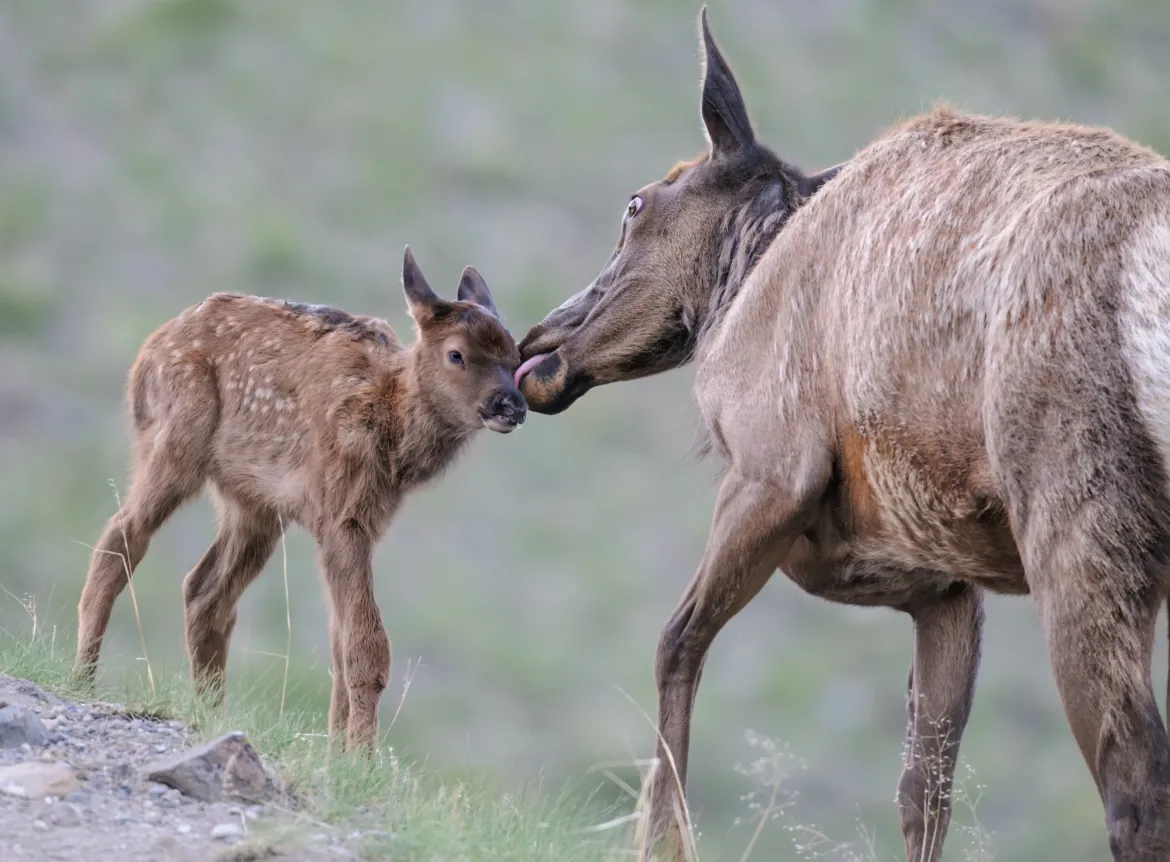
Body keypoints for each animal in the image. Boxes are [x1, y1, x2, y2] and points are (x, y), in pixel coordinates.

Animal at [73, 246, 526, 748]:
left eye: (515, 354)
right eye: (456, 354)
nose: (512, 405)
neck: (391, 426)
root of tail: (148, 351)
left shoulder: (363, 520)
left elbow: (341, 642)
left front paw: (338, 753)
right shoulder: (341, 515)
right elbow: (366, 647)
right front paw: (361, 757)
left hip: (253, 505)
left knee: (204, 591)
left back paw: (210, 710)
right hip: (174, 442)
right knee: (121, 537)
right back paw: (83, 680)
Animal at [517, 6, 1170, 860]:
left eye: (636, 204)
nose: (536, 343)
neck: (742, 286)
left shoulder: (771, 471)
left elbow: (676, 642)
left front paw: (662, 840)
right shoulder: (946, 585)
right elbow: (924, 787)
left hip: (1081, 516)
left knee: (1135, 784)